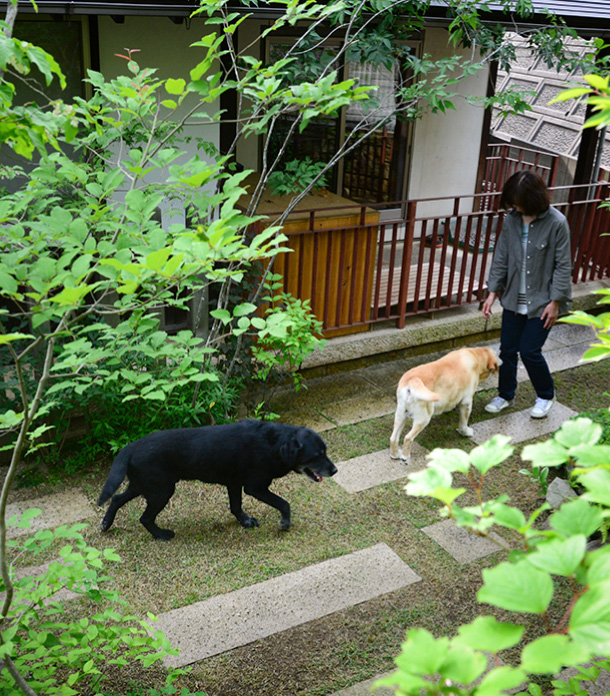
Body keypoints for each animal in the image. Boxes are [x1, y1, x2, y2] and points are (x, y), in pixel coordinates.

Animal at [98, 418, 338, 540]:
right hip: (161, 490)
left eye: (326, 450)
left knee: (117, 498)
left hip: (144, 485)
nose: (335, 470)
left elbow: (236, 506)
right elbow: (284, 503)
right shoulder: (254, 487)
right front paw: (285, 523)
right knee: (144, 518)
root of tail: (132, 446)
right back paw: (162, 535)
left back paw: (106, 523)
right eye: (316, 455)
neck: (274, 443)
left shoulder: (234, 483)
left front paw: (245, 522)